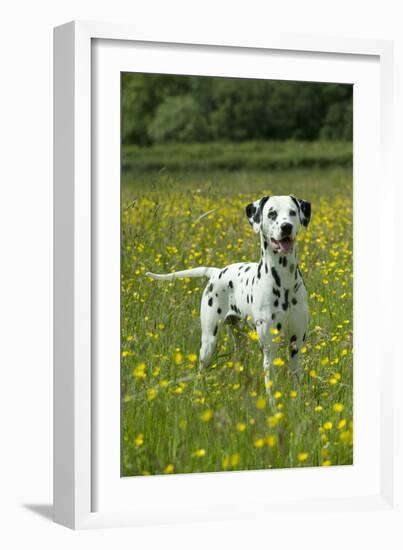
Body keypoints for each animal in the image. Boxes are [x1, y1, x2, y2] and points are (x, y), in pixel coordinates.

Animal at [148, 196, 312, 398]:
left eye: (292, 212)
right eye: (272, 213)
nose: (286, 227)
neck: (284, 281)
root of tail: (216, 272)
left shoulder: (296, 345)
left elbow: (296, 381)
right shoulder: (269, 349)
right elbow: (271, 388)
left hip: (240, 340)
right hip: (208, 341)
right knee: (201, 369)